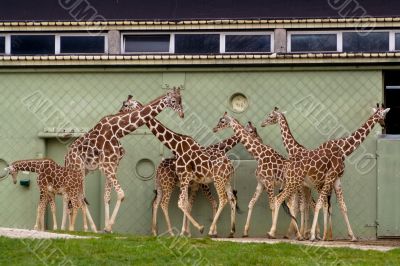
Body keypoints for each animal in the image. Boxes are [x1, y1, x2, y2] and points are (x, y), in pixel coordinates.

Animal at [64, 88, 184, 233]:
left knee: (78, 196)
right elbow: (121, 194)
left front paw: (107, 228)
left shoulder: (113, 164)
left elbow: (107, 197)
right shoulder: (106, 165)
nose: (182, 114)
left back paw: (81, 228)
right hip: (77, 168)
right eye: (173, 100)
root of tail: (66, 157)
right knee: (78, 196)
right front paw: (108, 227)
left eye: (180, 99)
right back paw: (84, 228)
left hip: (84, 170)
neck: (117, 130)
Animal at [260, 104, 390, 241]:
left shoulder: (333, 179)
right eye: (383, 115)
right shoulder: (323, 180)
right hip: (295, 183)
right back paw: (276, 232)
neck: (342, 149)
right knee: (280, 200)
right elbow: (314, 205)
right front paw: (311, 234)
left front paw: (351, 236)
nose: (262, 124)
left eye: (270, 116)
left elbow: (338, 206)